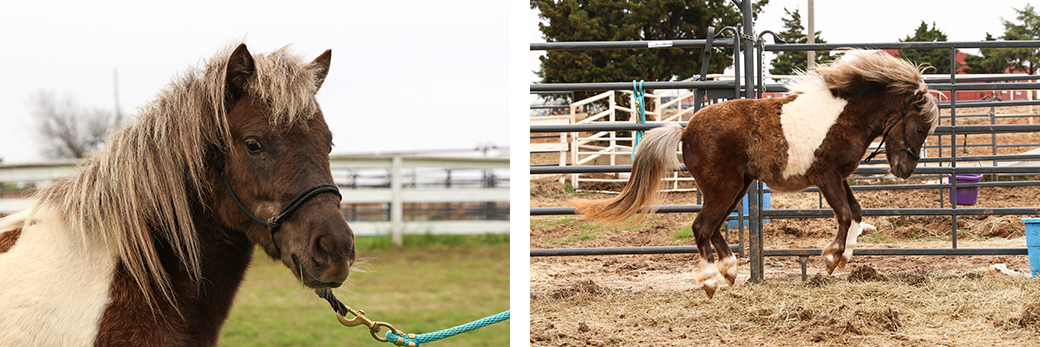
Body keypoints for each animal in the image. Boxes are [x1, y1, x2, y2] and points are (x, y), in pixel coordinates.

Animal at [574, 51, 940, 299]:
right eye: (920, 128)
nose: (905, 170)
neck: (842, 117)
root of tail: (685, 128)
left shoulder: (840, 177)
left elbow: (858, 213)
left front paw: (845, 257)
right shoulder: (826, 176)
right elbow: (846, 214)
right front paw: (831, 257)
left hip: (737, 187)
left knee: (713, 228)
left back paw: (731, 270)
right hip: (723, 188)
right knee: (701, 227)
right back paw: (711, 280)